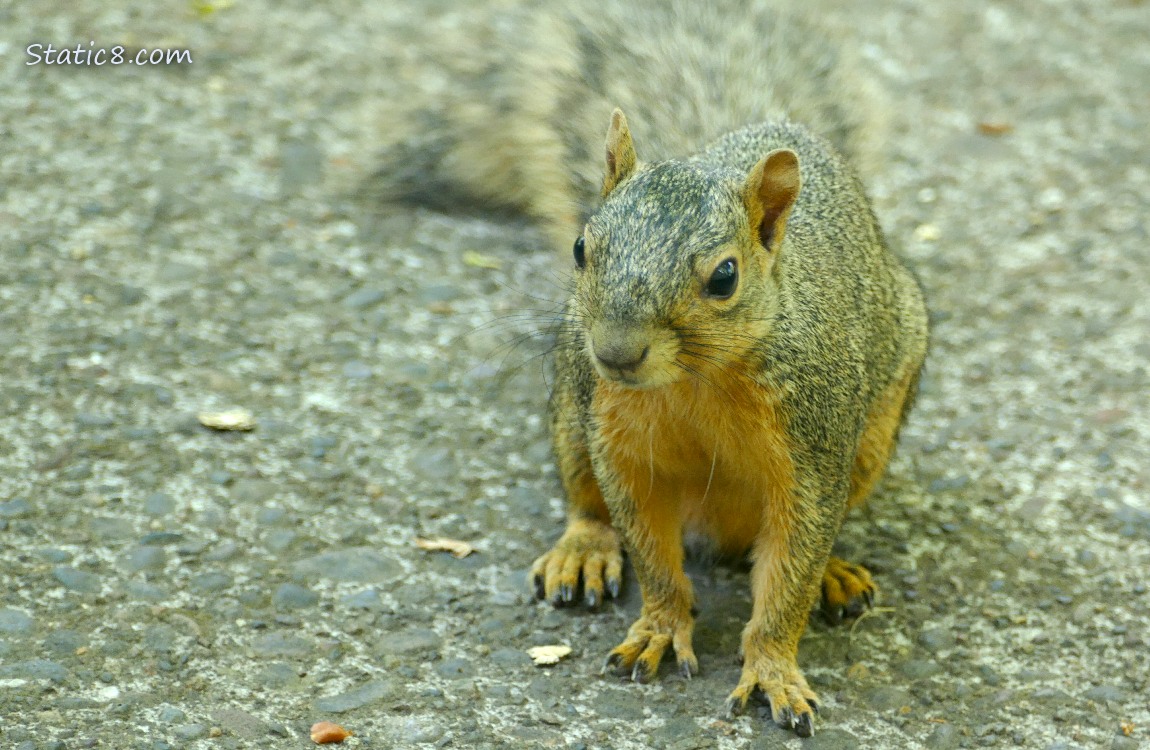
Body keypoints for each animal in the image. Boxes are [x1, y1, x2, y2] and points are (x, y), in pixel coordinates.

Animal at [376, 0, 929, 737]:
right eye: (581, 247)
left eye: (724, 277)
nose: (615, 352)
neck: (695, 382)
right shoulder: (619, 443)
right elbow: (651, 552)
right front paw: (661, 628)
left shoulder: (813, 451)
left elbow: (789, 576)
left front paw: (774, 669)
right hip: (571, 411)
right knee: (586, 500)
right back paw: (583, 551)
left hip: (874, 435)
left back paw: (837, 572)